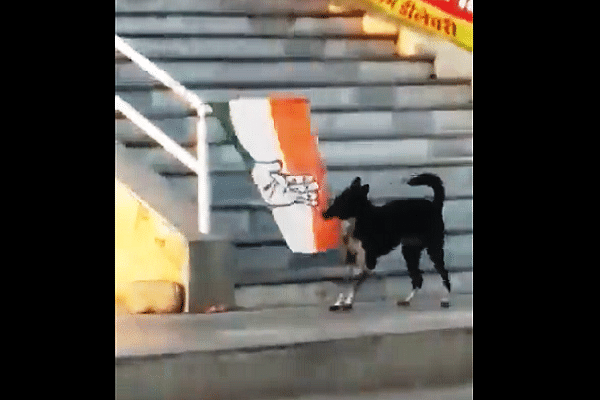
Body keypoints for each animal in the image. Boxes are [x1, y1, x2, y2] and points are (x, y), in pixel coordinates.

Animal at [324, 173, 450, 308]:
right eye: (337, 198)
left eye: (345, 200)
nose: (323, 213)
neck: (360, 219)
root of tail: (434, 205)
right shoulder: (351, 259)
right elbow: (347, 281)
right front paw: (340, 301)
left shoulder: (369, 263)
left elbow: (356, 282)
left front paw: (348, 301)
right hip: (410, 251)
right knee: (418, 278)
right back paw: (407, 300)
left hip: (434, 248)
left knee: (443, 273)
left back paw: (446, 298)